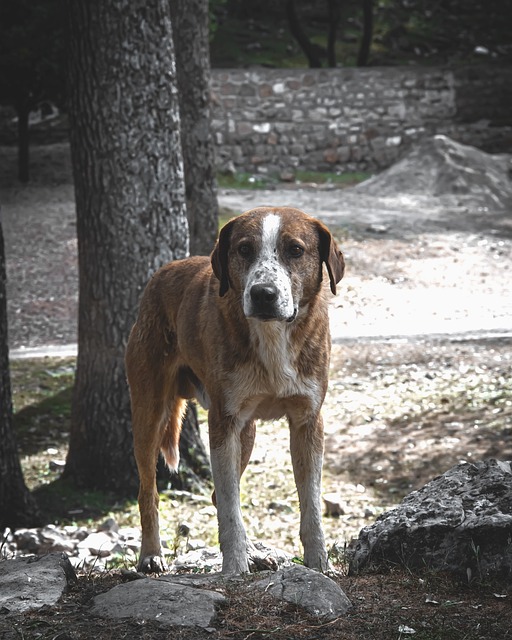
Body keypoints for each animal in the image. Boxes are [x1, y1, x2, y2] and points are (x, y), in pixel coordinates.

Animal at [126, 206, 346, 576]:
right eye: (244, 249)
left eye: (295, 250)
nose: (263, 294)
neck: (272, 335)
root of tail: (163, 272)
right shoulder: (223, 422)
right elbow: (230, 510)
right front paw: (234, 569)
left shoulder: (307, 421)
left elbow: (311, 505)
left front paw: (318, 563)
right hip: (149, 412)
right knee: (149, 491)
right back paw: (151, 554)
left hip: (248, 432)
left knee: (219, 495)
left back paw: (254, 551)